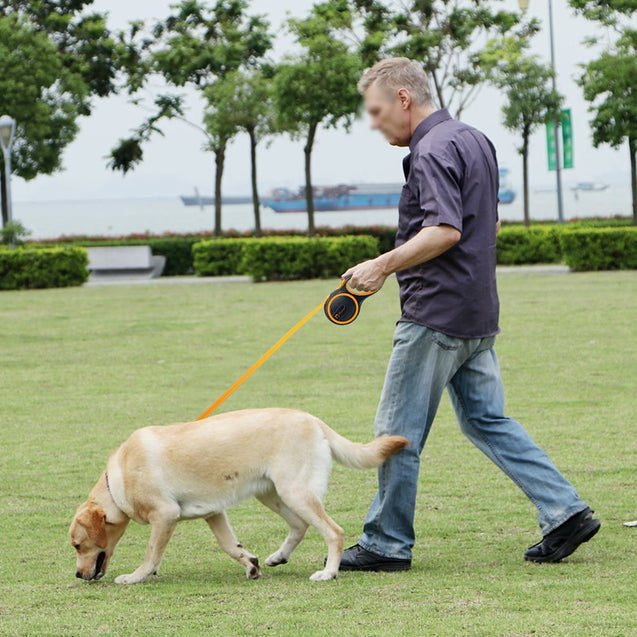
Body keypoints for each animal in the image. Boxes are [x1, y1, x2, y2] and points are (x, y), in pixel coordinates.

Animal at [71, 408, 408, 580]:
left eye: (77, 545)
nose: (77, 574)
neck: (119, 478)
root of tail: (313, 420)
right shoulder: (214, 513)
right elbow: (230, 546)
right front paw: (251, 564)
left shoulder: (165, 516)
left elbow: (152, 553)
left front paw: (137, 576)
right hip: (273, 494)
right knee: (300, 526)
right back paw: (279, 557)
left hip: (295, 492)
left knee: (333, 532)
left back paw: (328, 573)